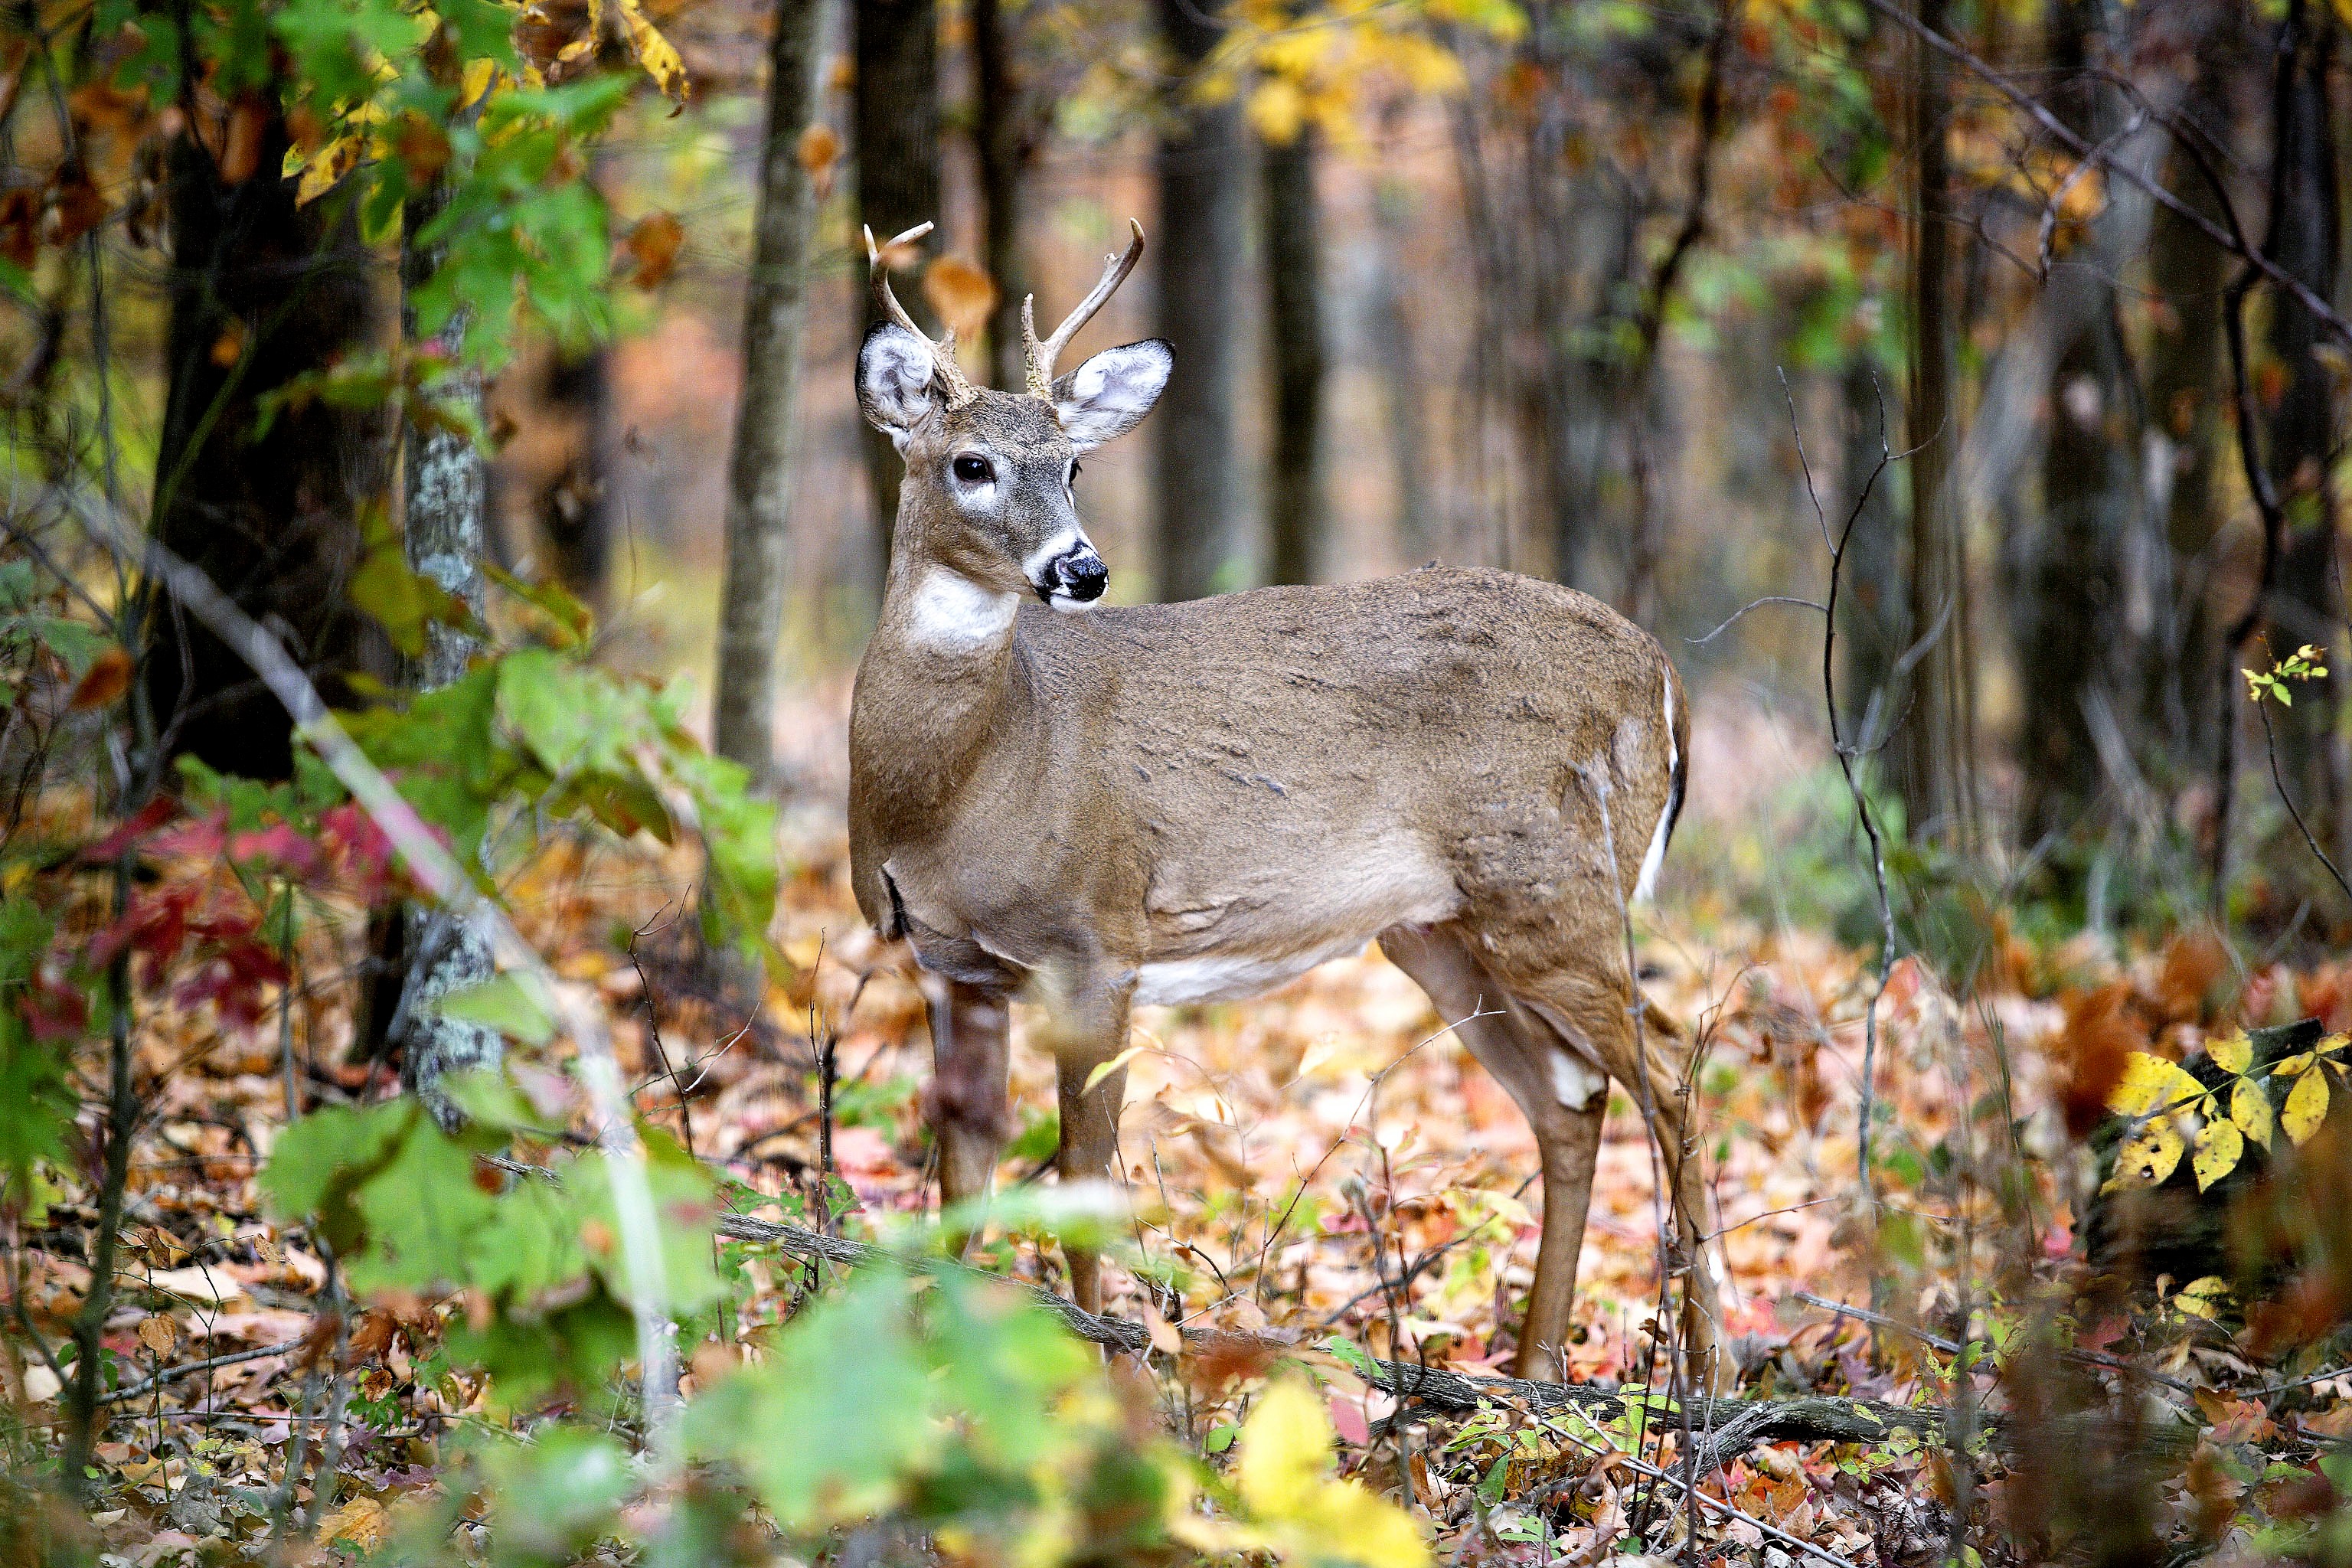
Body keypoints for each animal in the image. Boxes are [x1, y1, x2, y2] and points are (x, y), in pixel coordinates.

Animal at [846, 220, 1730, 1382]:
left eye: (1075, 463)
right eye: (971, 464)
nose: (1081, 568)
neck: (958, 789)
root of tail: (1665, 673)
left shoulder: (1099, 939)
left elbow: (1084, 1175)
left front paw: (1108, 1365)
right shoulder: (949, 962)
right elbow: (963, 1176)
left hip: (1558, 882)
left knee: (1671, 1074)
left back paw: (1709, 1368)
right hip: (1444, 930)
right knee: (1571, 1101)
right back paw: (1535, 1369)